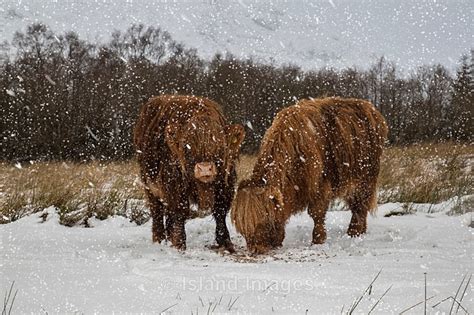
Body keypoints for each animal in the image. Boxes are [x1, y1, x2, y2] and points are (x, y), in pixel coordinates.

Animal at [133, 95, 244, 253]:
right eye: (187, 148)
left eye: (220, 146)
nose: (205, 169)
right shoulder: (175, 184)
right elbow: (180, 210)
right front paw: (179, 245)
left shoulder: (225, 182)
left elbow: (220, 211)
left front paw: (225, 242)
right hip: (149, 183)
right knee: (157, 211)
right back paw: (159, 240)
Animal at [231, 97, 388, 256]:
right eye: (242, 227)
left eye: (266, 220)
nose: (256, 249)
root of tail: (370, 108)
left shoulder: (319, 184)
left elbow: (316, 213)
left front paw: (317, 241)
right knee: (357, 204)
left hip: (365, 177)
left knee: (361, 204)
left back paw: (354, 232)